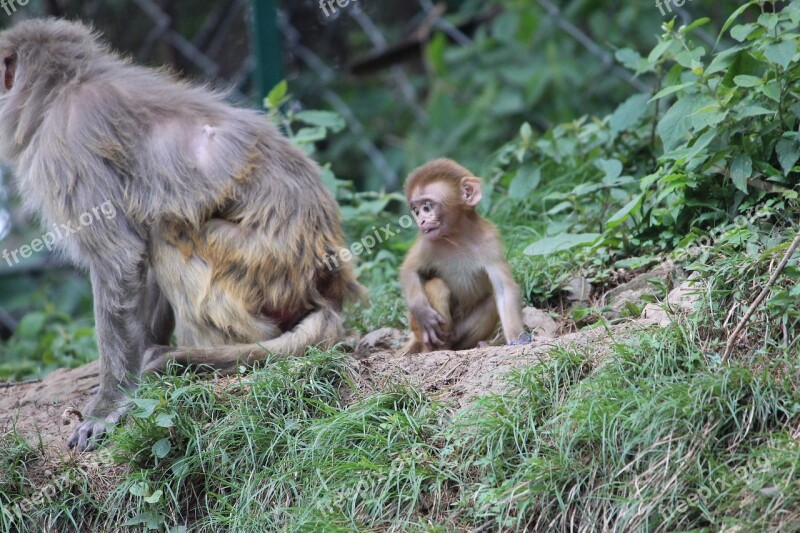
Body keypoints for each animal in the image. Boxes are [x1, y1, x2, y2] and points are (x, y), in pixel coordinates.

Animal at [0, 19, 366, 448]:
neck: (66, 86)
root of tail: (328, 276)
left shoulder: (67, 145)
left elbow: (118, 258)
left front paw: (109, 403)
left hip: (263, 267)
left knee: (166, 230)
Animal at [398, 160, 524, 356]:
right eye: (416, 211)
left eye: (427, 207)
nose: (421, 221)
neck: (458, 237)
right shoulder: (428, 243)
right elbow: (409, 270)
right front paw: (423, 313)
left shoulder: (491, 241)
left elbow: (504, 290)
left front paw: (518, 340)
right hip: (417, 329)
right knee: (437, 286)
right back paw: (435, 349)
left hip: (457, 331)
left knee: (490, 303)